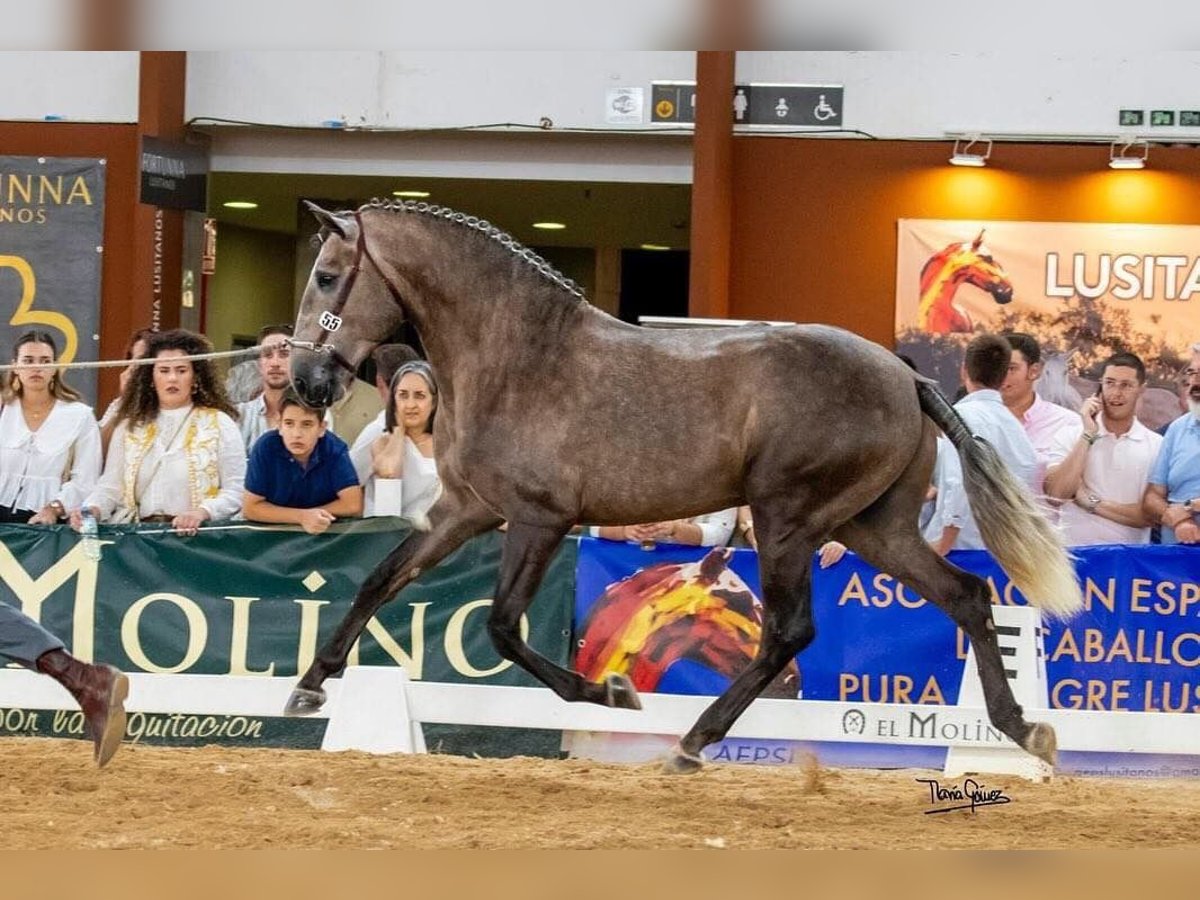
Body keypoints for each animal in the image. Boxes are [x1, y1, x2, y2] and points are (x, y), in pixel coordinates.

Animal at [285, 199, 1084, 777]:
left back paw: (693, 742)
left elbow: (503, 626)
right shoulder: (466, 510)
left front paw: (612, 692)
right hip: (872, 527)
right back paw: (1025, 732)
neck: (517, 358)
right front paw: (311, 684)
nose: (305, 380)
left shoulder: (539, 520)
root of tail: (907, 377)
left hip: (789, 518)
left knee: (791, 631)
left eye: (326, 276)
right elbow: (380, 579)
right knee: (967, 595)